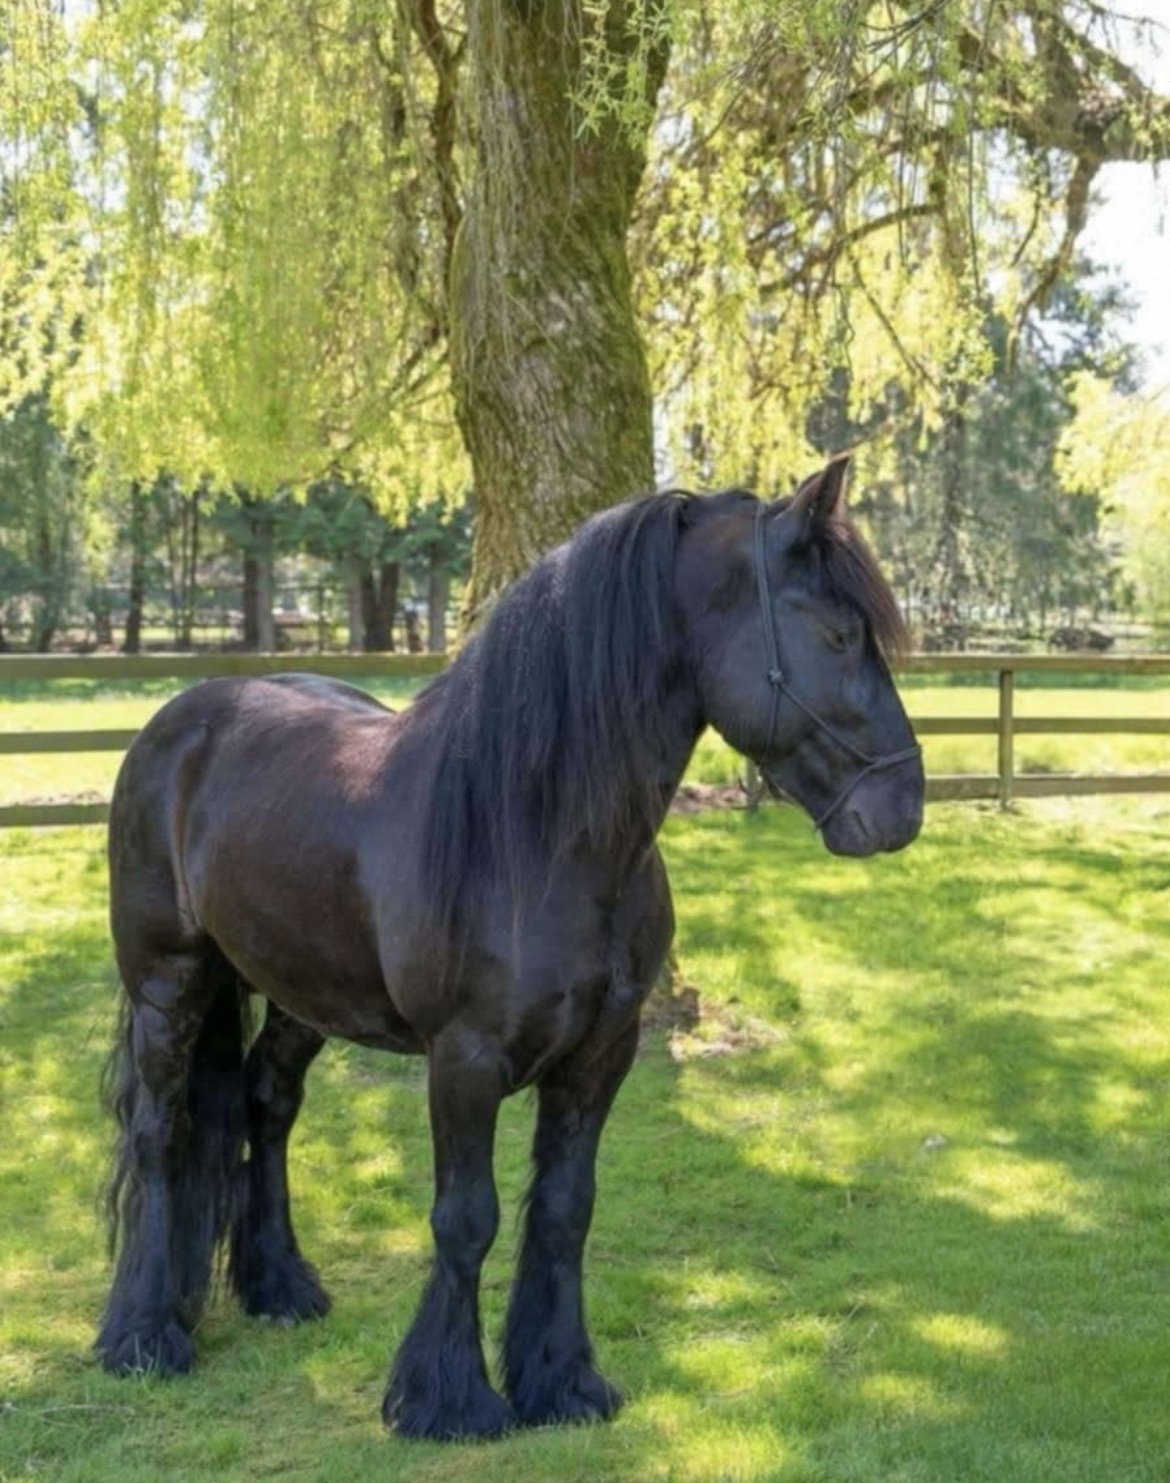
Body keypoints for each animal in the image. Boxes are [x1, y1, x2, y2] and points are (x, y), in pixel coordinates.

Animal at [95, 453, 924, 1441]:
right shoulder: (464, 1060)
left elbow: (564, 1210)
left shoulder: (600, 1056)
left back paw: (281, 1287)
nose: (903, 806)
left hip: (304, 995)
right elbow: (467, 1216)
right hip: (168, 983)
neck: (540, 837)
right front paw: (448, 1398)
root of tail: (181, 717)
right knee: (158, 1131)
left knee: (267, 1105)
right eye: (837, 632)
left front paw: (560, 1381)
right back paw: (143, 1333)